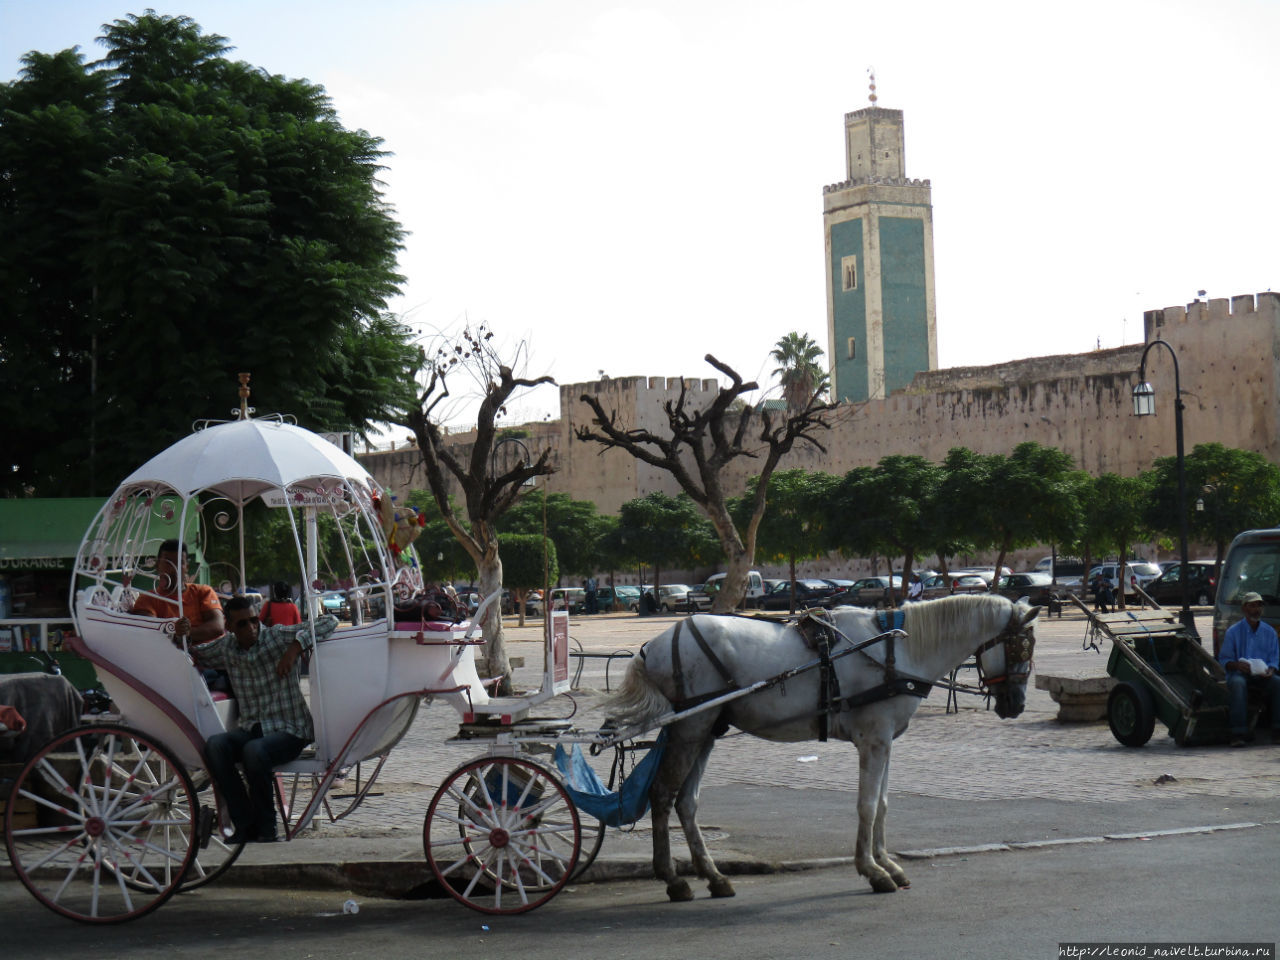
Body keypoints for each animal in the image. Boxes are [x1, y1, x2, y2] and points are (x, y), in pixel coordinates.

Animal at [604, 593, 1034, 901]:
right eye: (1020, 649)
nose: (1016, 705)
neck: (897, 652)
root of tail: (655, 643)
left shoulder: (885, 742)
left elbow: (882, 804)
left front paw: (888, 864)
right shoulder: (873, 739)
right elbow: (867, 805)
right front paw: (873, 871)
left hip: (707, 728)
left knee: (687, 802)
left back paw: (713, 876)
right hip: (690, 727)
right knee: (663, 794)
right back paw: (673, 879)